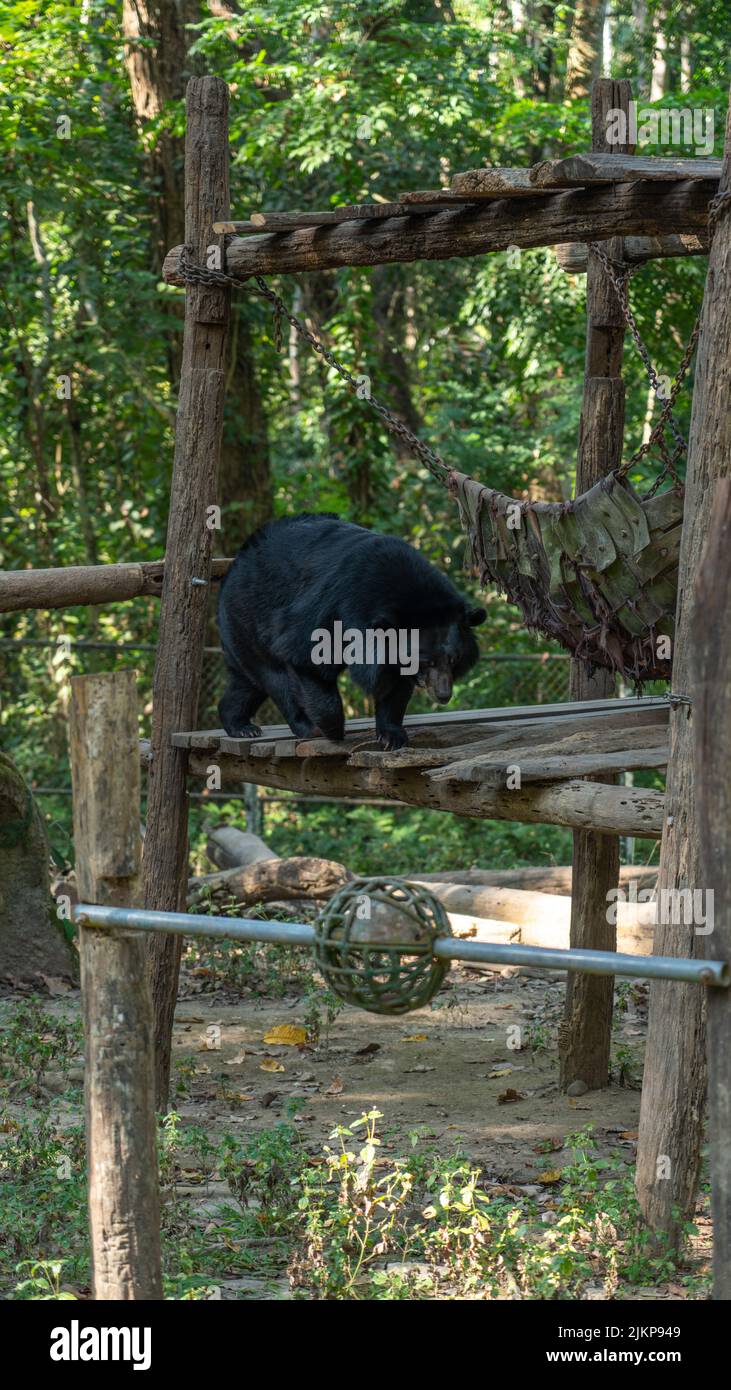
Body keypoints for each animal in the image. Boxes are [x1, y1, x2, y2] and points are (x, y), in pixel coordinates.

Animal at [218, 511, 486, 750]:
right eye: (426, 661)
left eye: (454, 659)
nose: (443, 695)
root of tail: (235, 563)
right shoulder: (332, 606)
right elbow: (305, 655)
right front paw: (332, 728)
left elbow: (395, 687)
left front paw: (391, 736)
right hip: (247, 615)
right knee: (275, 680)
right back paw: (303, 726)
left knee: (247, 682)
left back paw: (239, 725)